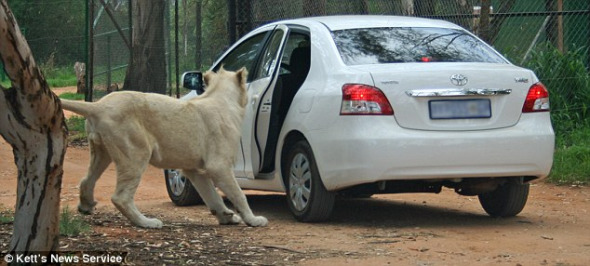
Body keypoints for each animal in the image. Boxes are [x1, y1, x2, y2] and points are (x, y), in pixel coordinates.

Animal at [60, 67, 268, 228]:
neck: (220, 97)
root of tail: (98, 105)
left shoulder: (194, 169)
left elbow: (211, 195)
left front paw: (226, 216)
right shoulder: (219, 165)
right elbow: (238, 194)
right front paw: (253, 220)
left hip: (101, 152)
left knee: (86, 181)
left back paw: (86, 206)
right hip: (136, 152)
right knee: (121, 197)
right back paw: (147, 223)